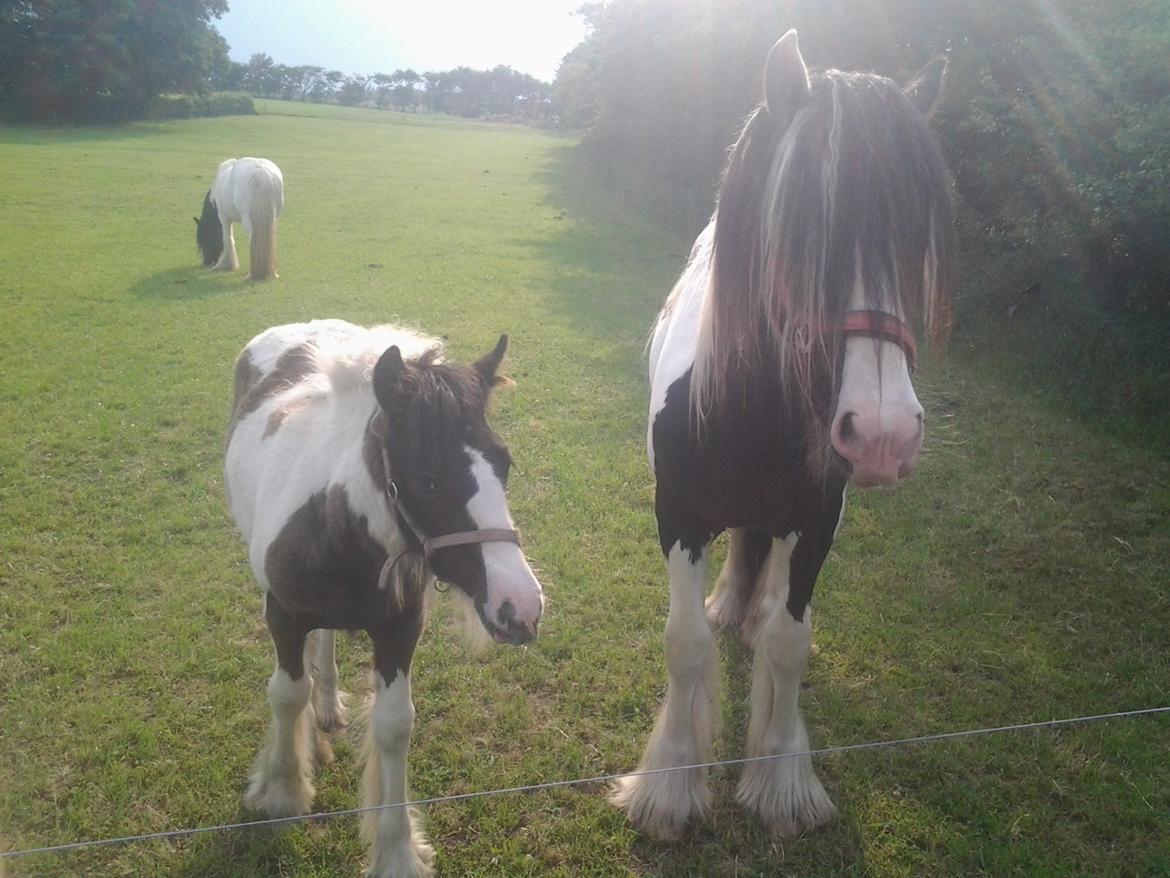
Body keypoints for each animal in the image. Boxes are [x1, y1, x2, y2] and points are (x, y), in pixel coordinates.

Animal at [225, 320, 545, 875]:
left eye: (504, 463)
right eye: (428, 479)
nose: (520, 607)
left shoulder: (399, 629)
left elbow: (394, 726)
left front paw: (396, 850)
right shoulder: (282, 615)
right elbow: (286, 693)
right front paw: (282, 793)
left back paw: (330, 705)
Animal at [608, 31, 954, 842]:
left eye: (911, 233)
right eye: (798, 227)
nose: (885, 432)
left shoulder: (818, 519)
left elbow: (790, 645)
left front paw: (781, 779)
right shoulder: (677, 517)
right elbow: (685, 646)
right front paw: (670, 785)